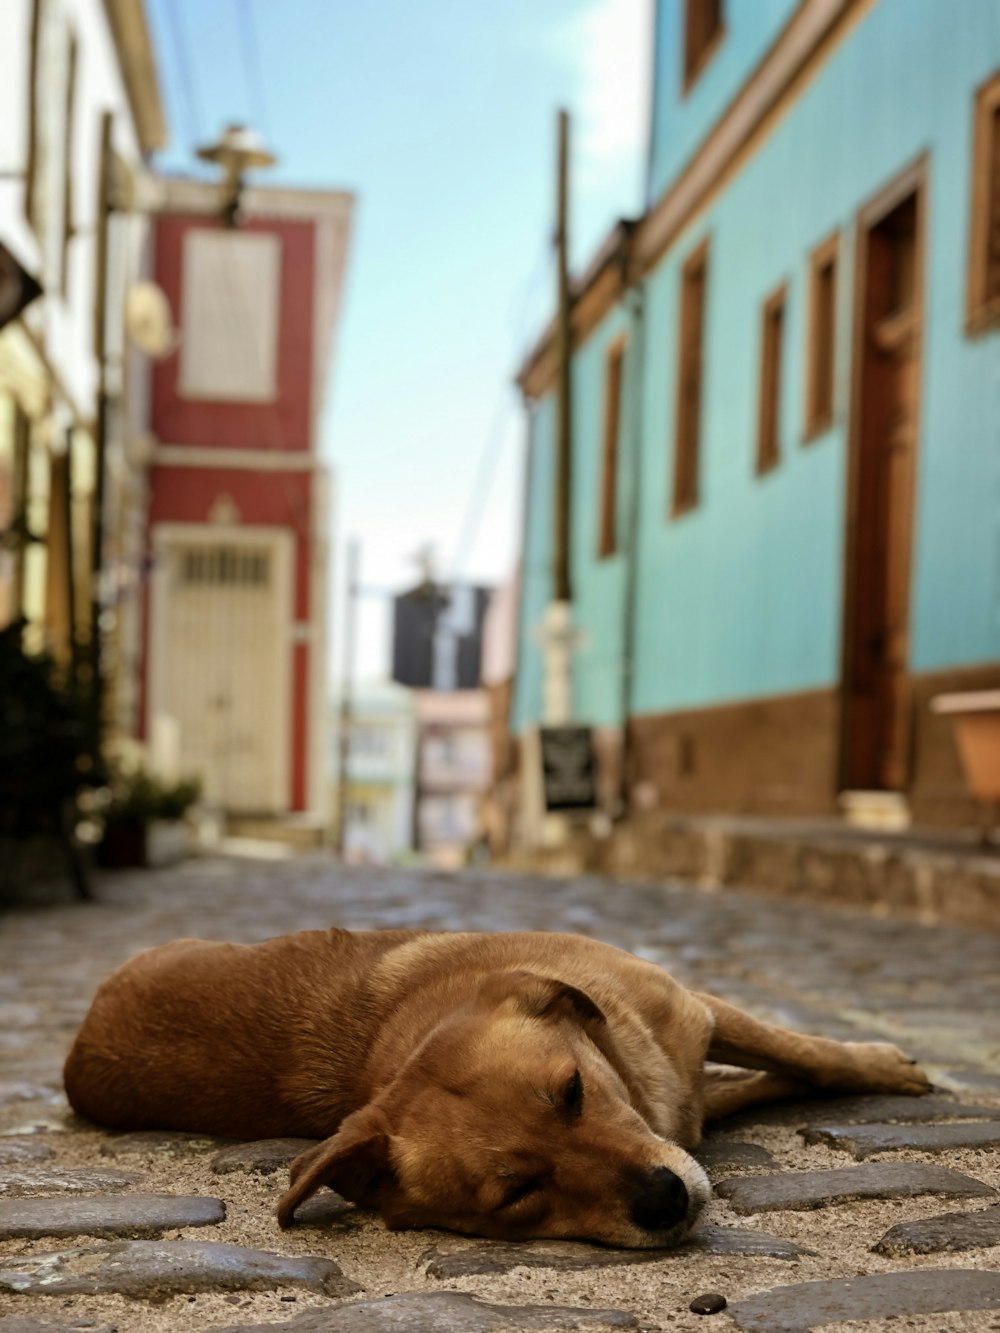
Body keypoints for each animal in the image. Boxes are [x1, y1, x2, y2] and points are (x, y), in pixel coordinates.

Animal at [64, 927, 933, 1247]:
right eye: (518, 1191)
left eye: (574, 1090)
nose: (665, 1200)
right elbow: (767, 1074)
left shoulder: (690, 1015)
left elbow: (802, 1057)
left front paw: (882, 1066)